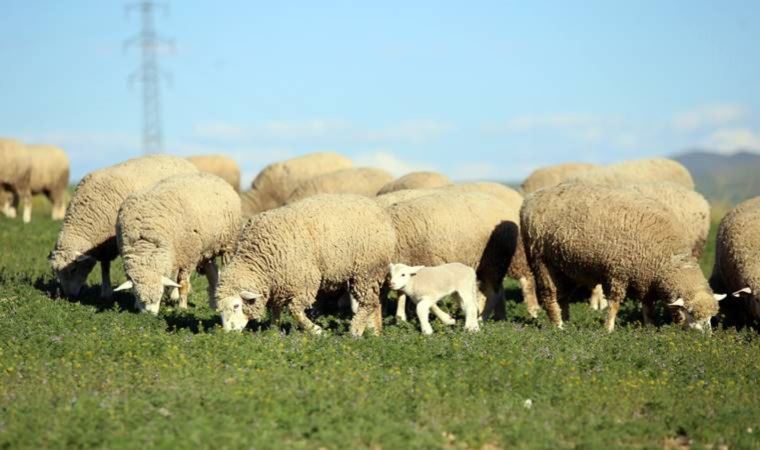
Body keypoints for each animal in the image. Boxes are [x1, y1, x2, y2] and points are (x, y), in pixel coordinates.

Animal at [46, 154, 197, 298]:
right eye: (55, 271)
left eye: (73, 269)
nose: (68, 296)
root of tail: (184, 160)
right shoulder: (104, 245)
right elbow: (105, 266)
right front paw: (106, 292)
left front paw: (107, 291)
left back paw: (175, 293)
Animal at [113, 172, 240, 312]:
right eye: (137, 294)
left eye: (160, 292)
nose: (149, 314)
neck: (145, 242)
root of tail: (213, 176)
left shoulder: (188, 256)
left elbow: (182, 284)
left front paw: (182, 307)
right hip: (207, 248)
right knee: (212, 272)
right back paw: (215, 304)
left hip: (229, 243)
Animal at [212, 194, 392, 338]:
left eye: (236, 306)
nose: (228, 334)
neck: (260, 257)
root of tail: (378, 209)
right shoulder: (279, 283)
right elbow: (276, 309)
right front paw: (274, 331)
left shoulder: (305, 282)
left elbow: (295, 311)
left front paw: (317, 331)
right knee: (375, 302)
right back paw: (375, 332)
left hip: (366, 271)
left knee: (368, 302)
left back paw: (355, 331)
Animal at [520, 181, 720, 332]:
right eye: (692, 313)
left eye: (712, 317)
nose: (707, 337)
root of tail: (531, 198)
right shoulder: (618, 271)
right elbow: (615, 303)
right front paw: (608, 328)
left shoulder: (645, 276)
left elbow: (647, 305)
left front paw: (649, 327)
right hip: (541, 260)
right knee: (549, 294)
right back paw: (558, 326)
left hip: (565, 267)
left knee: (563, 295)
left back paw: (567, 322)